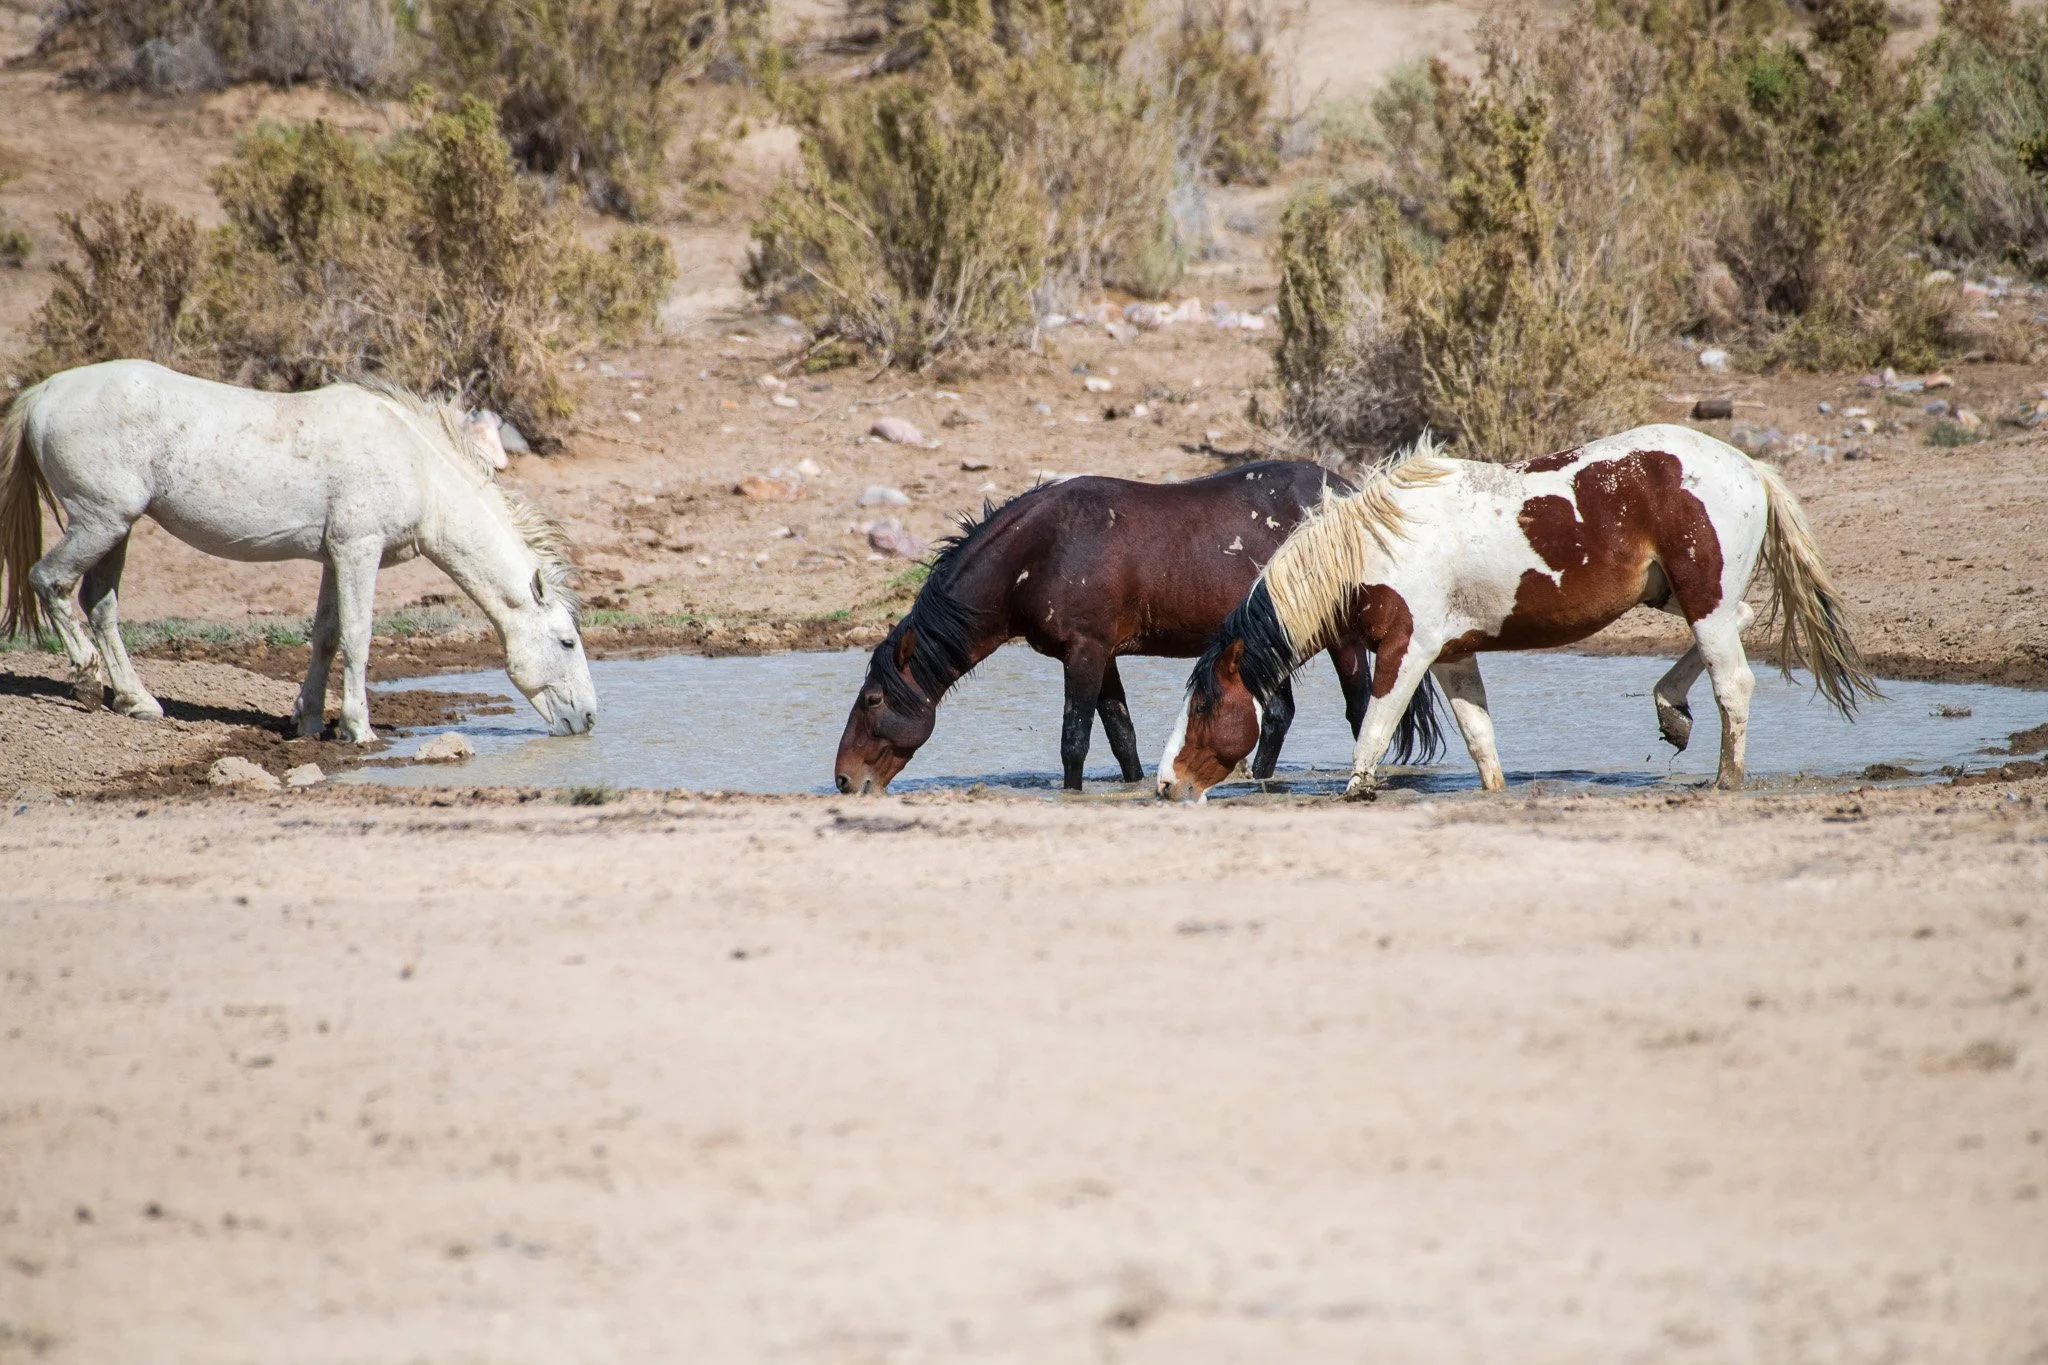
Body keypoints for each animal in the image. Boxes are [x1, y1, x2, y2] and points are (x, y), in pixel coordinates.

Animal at [1, 360, 597, 742]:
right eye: (567, 642)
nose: (588, 719)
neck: (417, 466)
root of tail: (44, 392)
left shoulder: (335, 557)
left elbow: (326, 636)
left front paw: (307, 721)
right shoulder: (359, 551)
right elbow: (357, 637)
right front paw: (359, 728)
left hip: (117, 529)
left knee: (100, 604)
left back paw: (138, 701)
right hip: (99, 522)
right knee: (50, 581)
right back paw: (85, 677)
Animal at [833, 462, 1444, 794]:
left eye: (872, 699)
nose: (842, 779)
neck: (1042, 550)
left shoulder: (1084, 653)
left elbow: (1075, 740)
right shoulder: (1100, 654)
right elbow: (1121, 735)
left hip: (1342, 641)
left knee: (1362, 710)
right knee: (1278, 715)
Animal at [1157, 424, 1878, 803]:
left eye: (1204, 705)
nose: (1167, 785)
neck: (1378, 546)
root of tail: (1749, 467)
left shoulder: (1407, 650)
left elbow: (1374, 730)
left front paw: (1358, 790)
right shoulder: (1452, 655)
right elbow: (1480, 737)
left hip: (1702, 597)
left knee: (1736, 683)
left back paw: (1725, 779)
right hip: (1681, 595)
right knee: (1742, 623)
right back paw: (1671, 711)